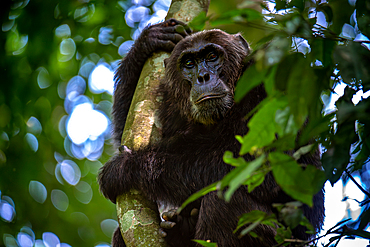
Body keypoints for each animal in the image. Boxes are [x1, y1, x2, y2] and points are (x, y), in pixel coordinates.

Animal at [99, 19, 324, 247]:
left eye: (212, 56)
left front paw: (128, 166)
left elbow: (261, 165)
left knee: (221, 200)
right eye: (189, 63)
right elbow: (128, 126)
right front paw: (149, 40)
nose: (203, 76)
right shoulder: (170, 102)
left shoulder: (272, 80)